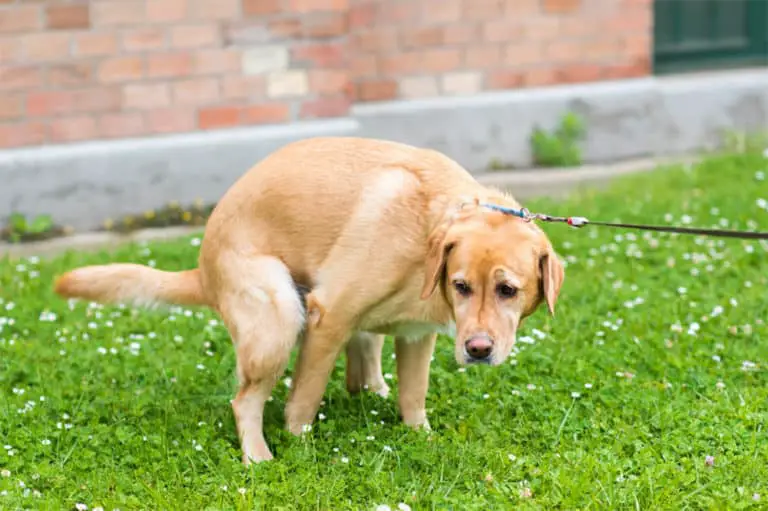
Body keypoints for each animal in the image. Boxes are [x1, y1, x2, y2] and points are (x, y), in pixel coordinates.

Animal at [51, 138, 560, 466]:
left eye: (508, 290)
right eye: (461, 286)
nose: (478, 350)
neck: (430, 229)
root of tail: (204, 267)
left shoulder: (416, 337)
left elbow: (413, 397)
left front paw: (422, 438)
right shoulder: (328, 316)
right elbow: (303, 400)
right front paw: (299, 445)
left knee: (361, 369)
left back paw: (371, 392)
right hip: (278, 317)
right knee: (245, 401)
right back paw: (257, 455)